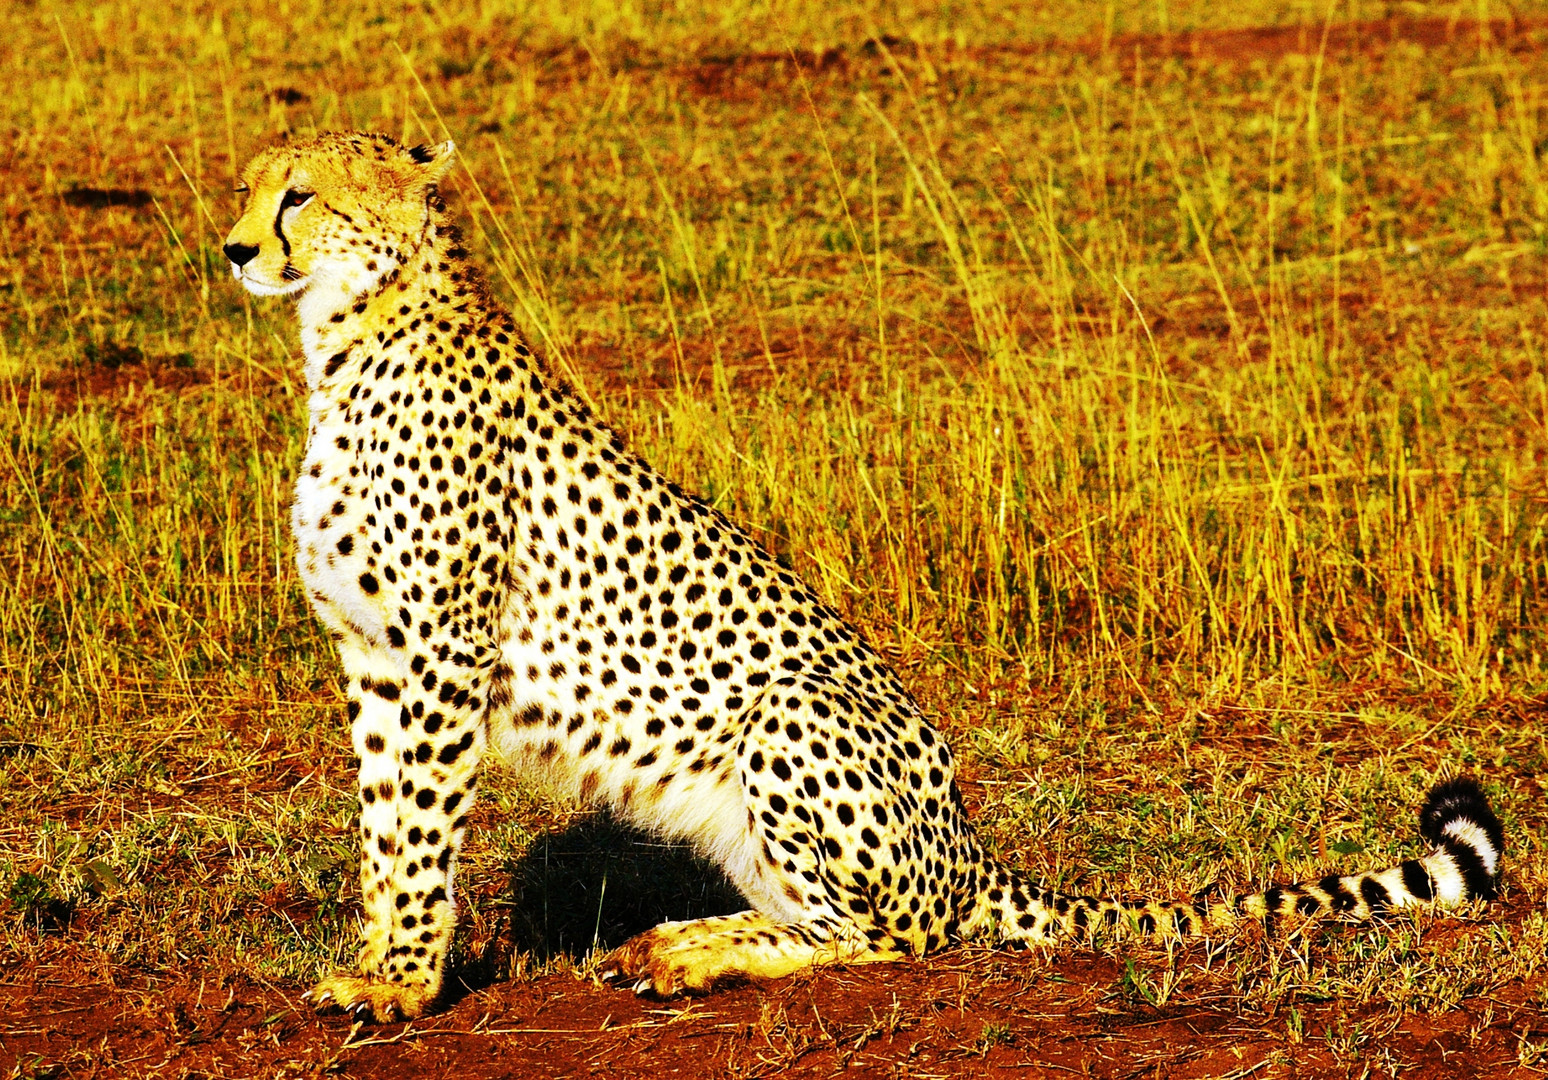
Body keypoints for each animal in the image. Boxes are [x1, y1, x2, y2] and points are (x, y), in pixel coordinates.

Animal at [224, 132, 1504, 1015]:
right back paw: (686, 939)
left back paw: (695, 951)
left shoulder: (440, 648)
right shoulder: (373, 657)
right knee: (824, 912)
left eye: (300, 195)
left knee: (885, 933)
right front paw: (376, 961)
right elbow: (384, 828)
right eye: (249, 186)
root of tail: (972, 848)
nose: (233, 249)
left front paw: (401, 985)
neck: (350, 335)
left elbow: (419, 826)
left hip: (790, 716)